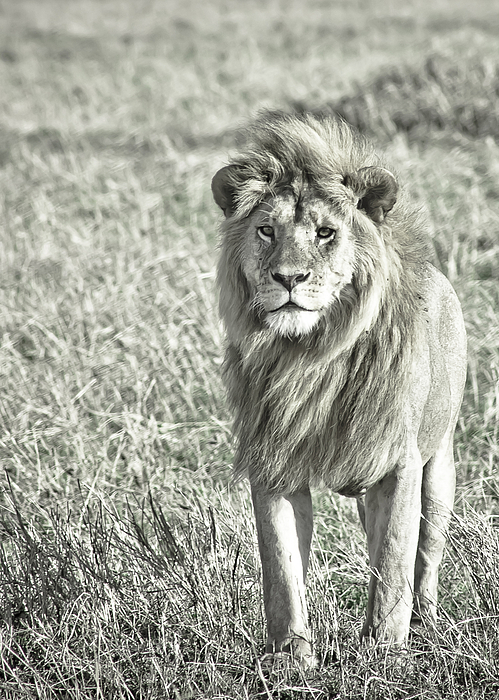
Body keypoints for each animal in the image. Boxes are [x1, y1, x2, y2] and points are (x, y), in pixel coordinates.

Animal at [212, 112, 468, 668]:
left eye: (325, 233)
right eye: (266, 230)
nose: (288, 278)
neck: (311, 358)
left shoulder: (398, 462)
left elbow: (394, 559)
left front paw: (385, 650)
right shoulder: (274, 461)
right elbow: (282, 568)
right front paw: (292, 656)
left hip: (438, 464)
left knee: (424, 553)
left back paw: (427, 622)